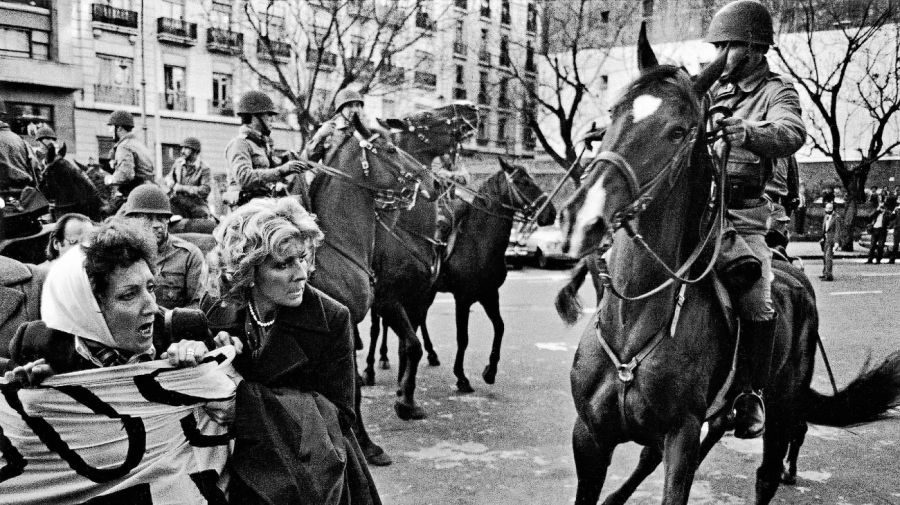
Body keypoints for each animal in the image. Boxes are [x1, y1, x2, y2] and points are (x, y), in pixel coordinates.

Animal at [362, 100, 482, 420]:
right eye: (427, 115)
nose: (471, 107)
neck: (408, 233)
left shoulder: (417, 299)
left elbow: (408, 346)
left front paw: (404, 392)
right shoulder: (388, 300)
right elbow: (412, 345)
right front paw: (404, 402)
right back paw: (367, 371)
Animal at [564, 25, 900, 502]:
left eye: (678, 131)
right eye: (611, 116)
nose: (584, 216)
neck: (632, 323)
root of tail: (794, 272)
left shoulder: (681, 436)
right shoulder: (589, 438)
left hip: (781, 404)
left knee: (767, 470)